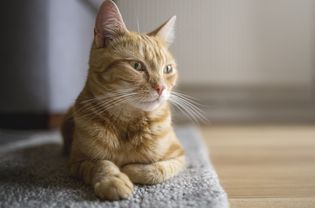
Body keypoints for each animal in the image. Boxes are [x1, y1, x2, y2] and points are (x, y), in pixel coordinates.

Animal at [61, 0, 185, 201]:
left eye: (167, 69)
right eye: (137, 66)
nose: (161, 88)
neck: (127, 123)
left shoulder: (180, 156)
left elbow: (158, 170)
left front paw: (132, 169)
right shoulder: (77, 162)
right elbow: (101, 164)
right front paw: (113, 179)